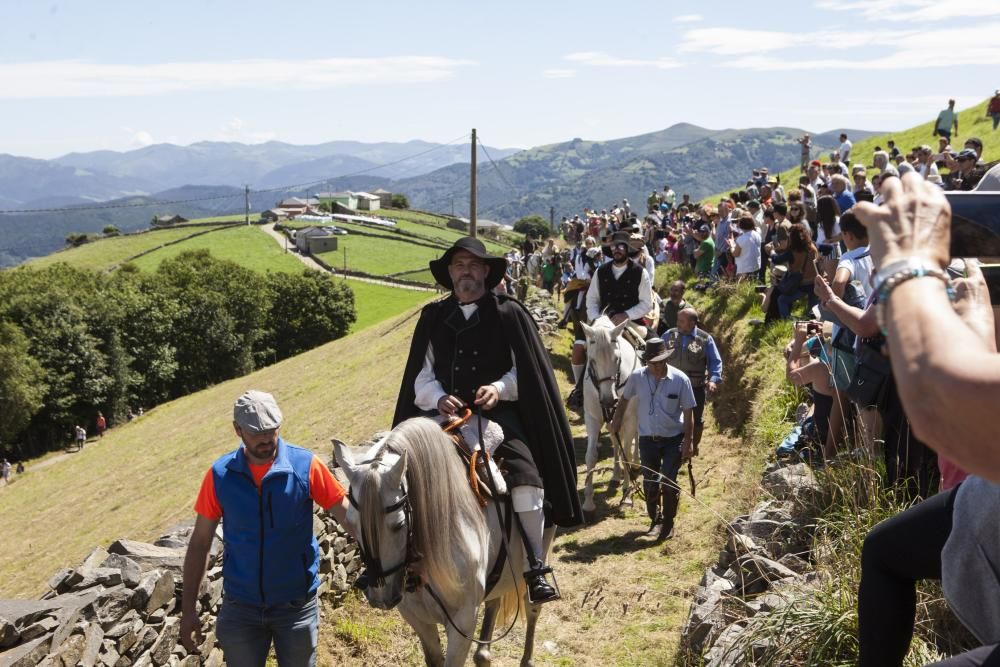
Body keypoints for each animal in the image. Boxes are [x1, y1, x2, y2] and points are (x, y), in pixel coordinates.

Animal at [336, 418, 556, 667]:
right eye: (351, 522)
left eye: (399, 524)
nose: (380, 597)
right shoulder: (417, 619)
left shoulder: (463, 621)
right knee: (494, 603)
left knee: (532, 607)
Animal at [580, 316, 640, 524]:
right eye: (592, 360)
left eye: (617, 358)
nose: (608, 400)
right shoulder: (593, 419)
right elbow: (591, 456)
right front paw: (588, 504)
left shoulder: (629, 419)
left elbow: (626, 453)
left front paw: (627, 495)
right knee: (615, 443)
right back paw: (615, 474)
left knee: (635, 440)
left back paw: (637, 464)